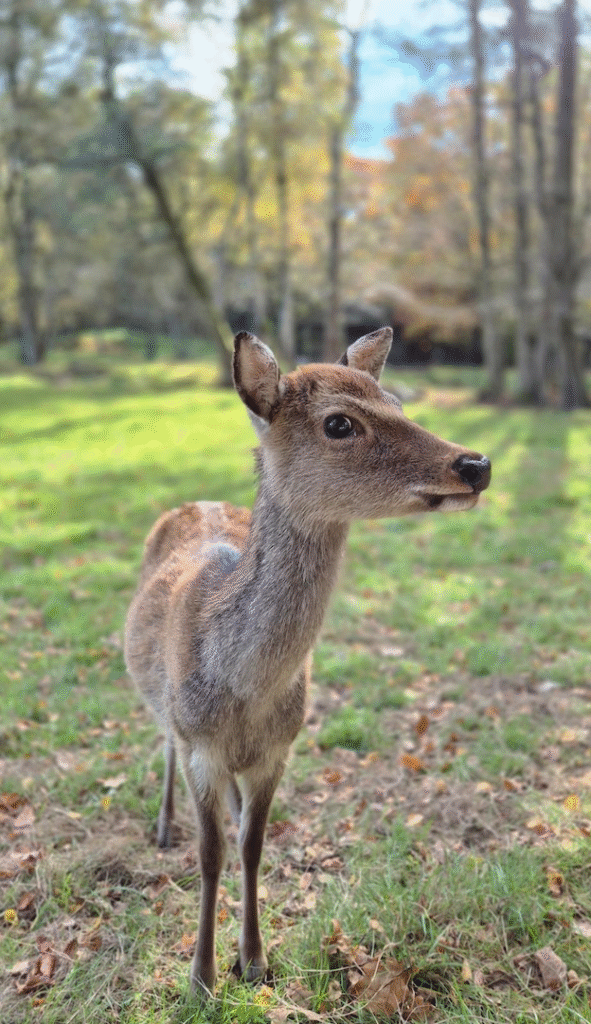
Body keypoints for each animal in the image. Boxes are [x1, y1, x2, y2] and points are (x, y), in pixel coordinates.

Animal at [124, 327, 491, 997]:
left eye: (396, 401)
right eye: (339, 422)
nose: (475, 464)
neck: (245, 692)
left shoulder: (277, 750)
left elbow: (252, 846)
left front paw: (255, 962)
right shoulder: (200, 747)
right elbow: (211, 854)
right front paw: (202, 977)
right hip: (165, 710)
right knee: (160, 738)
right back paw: (163, 827)